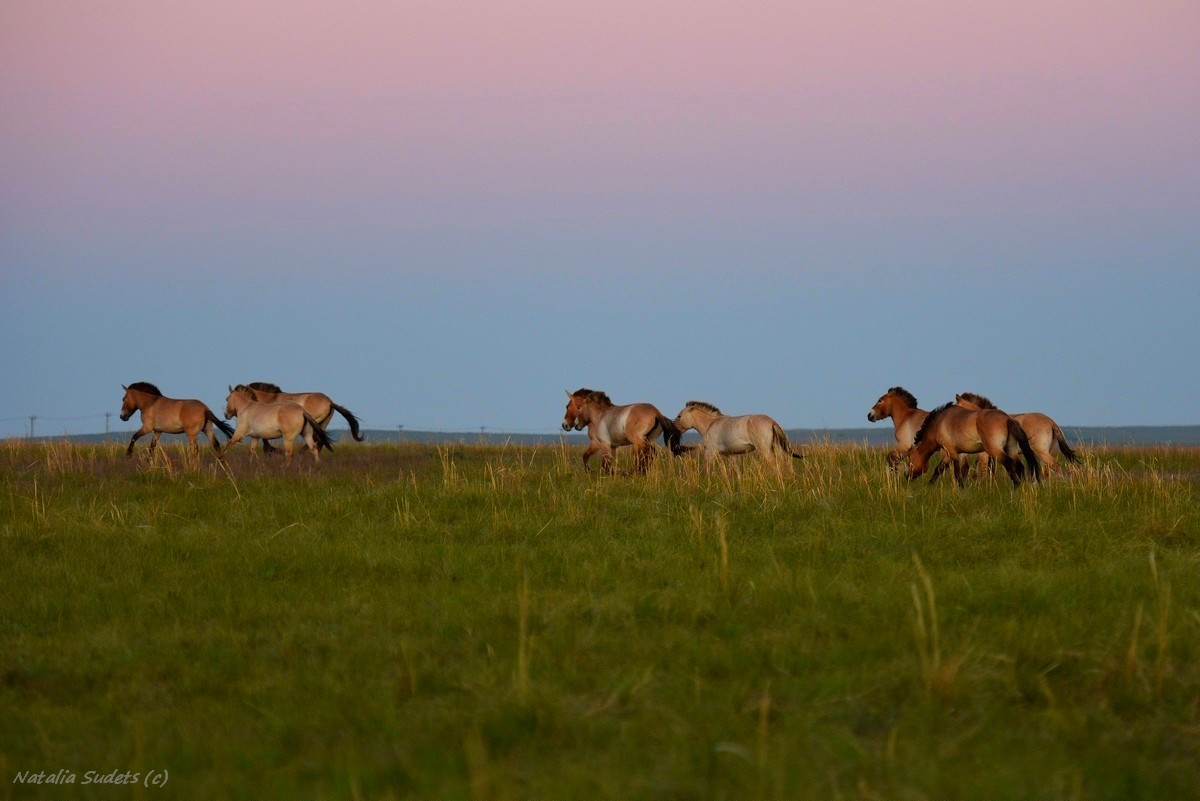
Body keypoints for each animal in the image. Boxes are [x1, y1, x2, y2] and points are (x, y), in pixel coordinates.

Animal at [672, 400, 801, 474]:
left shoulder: (710, 452)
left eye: (679, 416)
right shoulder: (731, 455)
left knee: (775, 465)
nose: (673, 429)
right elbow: (736, 472)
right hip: (776, 448)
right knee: (785, 463)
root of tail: (771, 421)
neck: (710, 425)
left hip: (765, 449)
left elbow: (706, 470)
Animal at [907, 400, 1041, 489]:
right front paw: (930, 484)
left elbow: (956, 472)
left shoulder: (950, 451)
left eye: (909, 459)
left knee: (1009, 464)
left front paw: (961, 488)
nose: (906, 476)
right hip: (1011, 449)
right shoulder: (953, 453)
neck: (938, 424)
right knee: (1020, 467)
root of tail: (1008, 419)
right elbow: (939, 469)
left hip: (995, 450)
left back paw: (1017, 486)